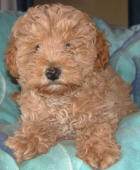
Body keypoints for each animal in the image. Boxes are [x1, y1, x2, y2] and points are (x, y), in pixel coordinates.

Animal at [5, 3, 137, 169]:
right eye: (36, 47)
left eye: (68, 45)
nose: (52, 72)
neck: (61, 96)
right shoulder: (36, 114)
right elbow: (35, 125)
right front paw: (24, 141)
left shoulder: (102, 111)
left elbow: (96, 128)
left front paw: (99, 150)